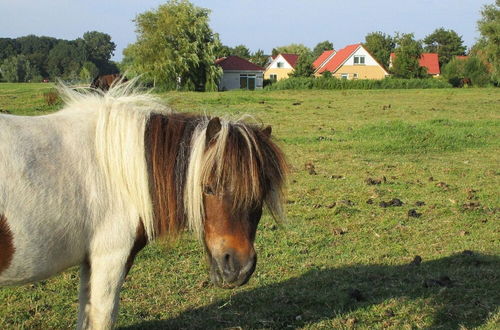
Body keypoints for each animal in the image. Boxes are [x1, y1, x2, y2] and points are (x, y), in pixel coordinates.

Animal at [0, 81, 288, 328]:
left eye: (262, 191)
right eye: (208, 187)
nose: (238, 269)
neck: (117, 171)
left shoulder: (90, 261)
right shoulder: (110, 259)